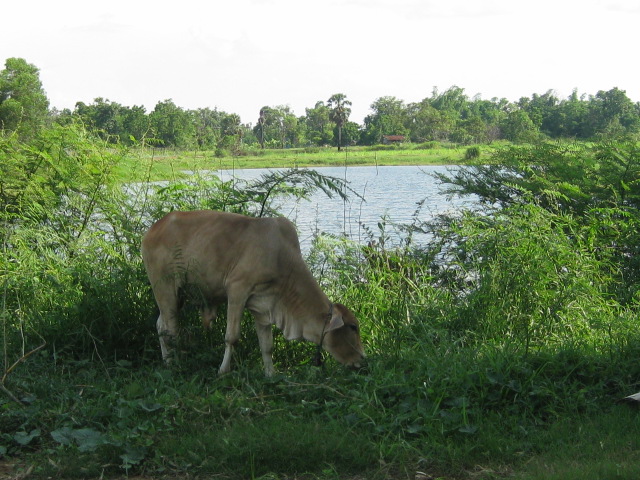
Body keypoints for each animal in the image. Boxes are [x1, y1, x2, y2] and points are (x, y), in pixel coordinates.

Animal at [143, 210, 368, 376]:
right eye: (353, 327)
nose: (362, 360)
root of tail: (152, 229)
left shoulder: (264, 305)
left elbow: (266, 345)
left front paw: (270, 374)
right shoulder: (237, 290)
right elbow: (231, 337)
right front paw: (223, 371)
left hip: (176, 295)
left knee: (160, 325)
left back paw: (167, 362)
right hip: (165, 288)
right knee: (170, 329)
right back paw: (175, 365)